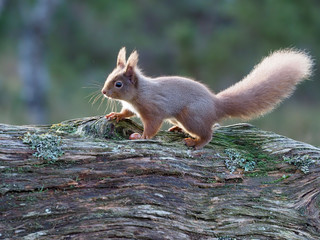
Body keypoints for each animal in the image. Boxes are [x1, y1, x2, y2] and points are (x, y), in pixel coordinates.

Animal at [102, 46, 312, 148]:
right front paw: (117, 115)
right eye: (109, 76)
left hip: (191, 116)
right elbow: (127, 112)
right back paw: (178, 129)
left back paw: (195, 142)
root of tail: (216, 105)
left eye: (118, 84)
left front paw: (142, 136)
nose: (104, 92)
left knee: (208, 133)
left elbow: (152, 127)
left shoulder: (153, 110)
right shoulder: (131, 106)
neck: (140, 92)